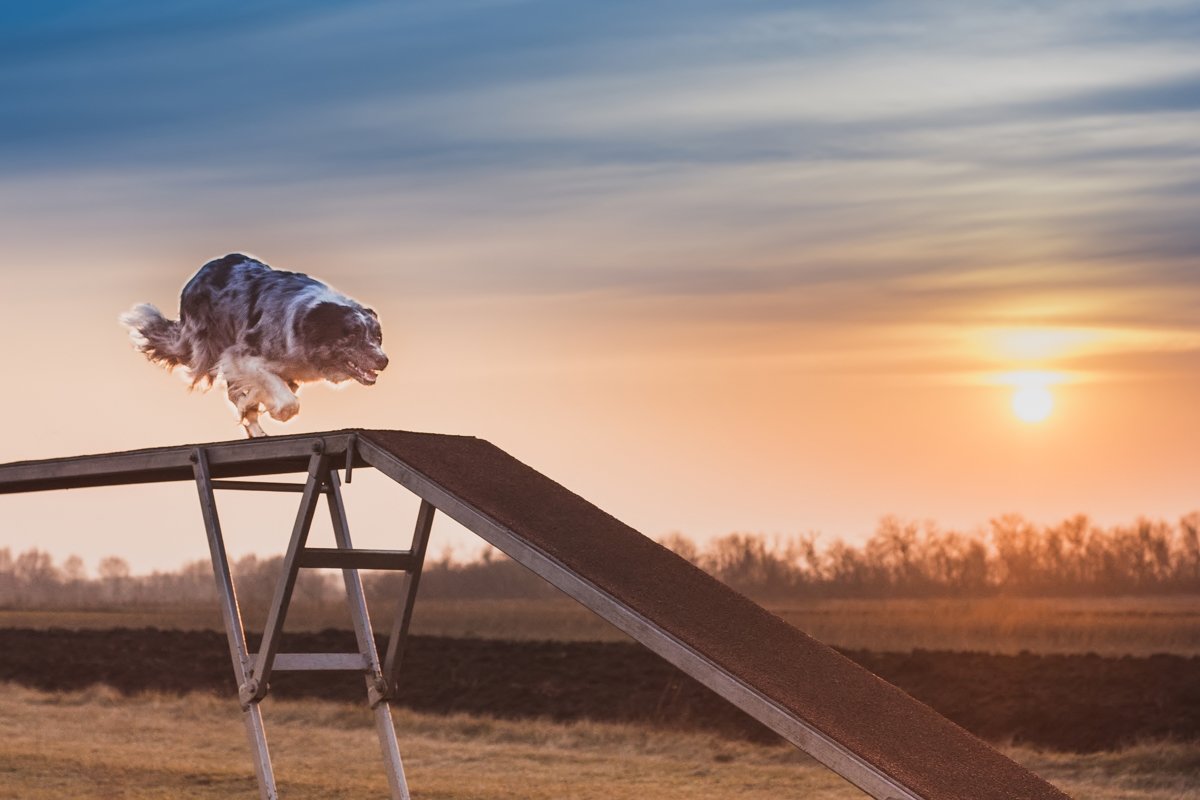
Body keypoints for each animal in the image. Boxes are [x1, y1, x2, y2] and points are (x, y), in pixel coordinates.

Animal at [120, 253, 388, 438]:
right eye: (352, 334)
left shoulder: (285, 371)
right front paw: (277, 410)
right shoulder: (241, 356)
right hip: (208, 343)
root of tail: (199, 275)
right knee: (232, 390)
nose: (383, 360)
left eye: (377, 336)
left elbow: (272, 390)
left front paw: (256, 404)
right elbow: (285, 399)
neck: (306, 321)